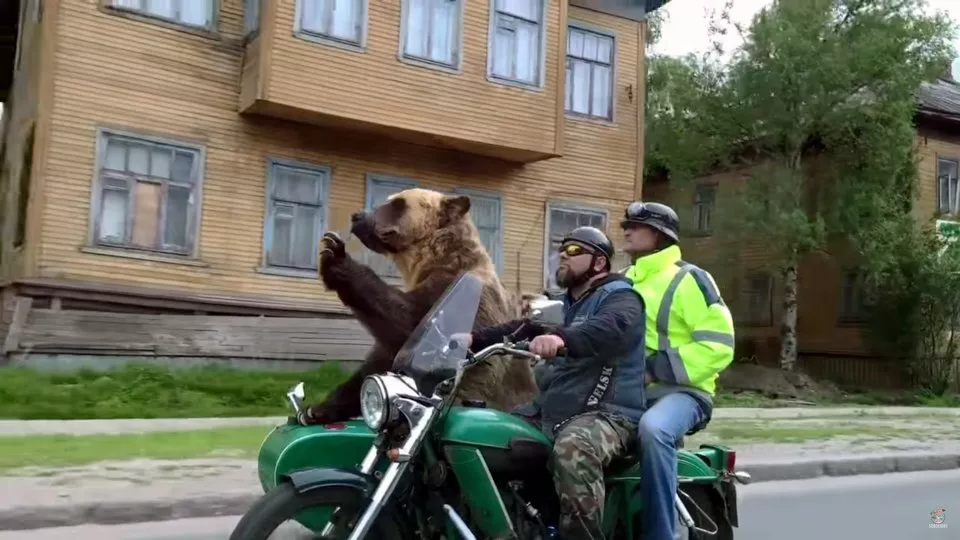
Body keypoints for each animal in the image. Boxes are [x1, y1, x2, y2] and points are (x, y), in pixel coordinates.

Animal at [302, 188, 540, 424]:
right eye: (389, 200)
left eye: (397, 203)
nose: (358, 216)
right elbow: (379, 363)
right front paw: (315, 410)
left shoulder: (459, 295)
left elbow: (411, 322)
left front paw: (335, 256)